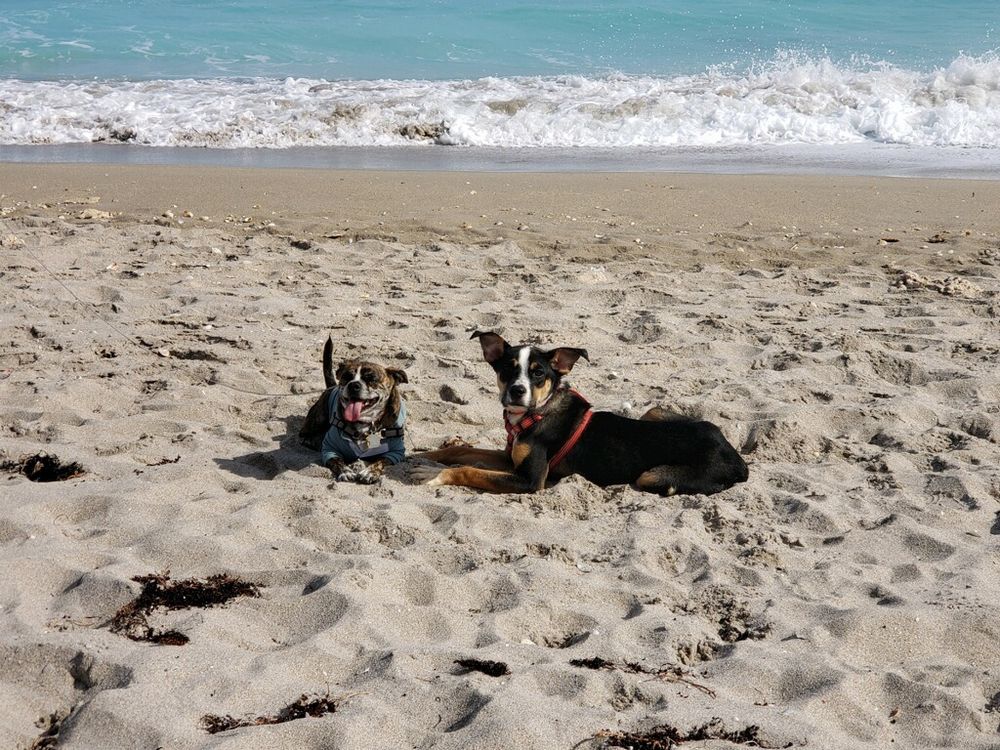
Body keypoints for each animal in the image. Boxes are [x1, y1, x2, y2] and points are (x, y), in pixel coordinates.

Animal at [299, 336, 407, 484]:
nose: (353, 385)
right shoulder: (329, 449)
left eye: (371, 378)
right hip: (317, 420)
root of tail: (331, 387)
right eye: (347, 377)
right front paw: (345, 471)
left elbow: (380, 460)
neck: (365, 422)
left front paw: (370, 472)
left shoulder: (395, 453)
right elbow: (337, 461)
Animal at [411, 331, 748, 495]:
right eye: (507, 368)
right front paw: (425, 457)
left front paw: (435, 475)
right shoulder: (509, 458)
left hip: (651, 476)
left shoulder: (531, 481)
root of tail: (736, 458)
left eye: (539, 373)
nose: (517, 391)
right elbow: (460, 450)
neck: (537, 413)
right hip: (653, 412)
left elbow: (469, 470)